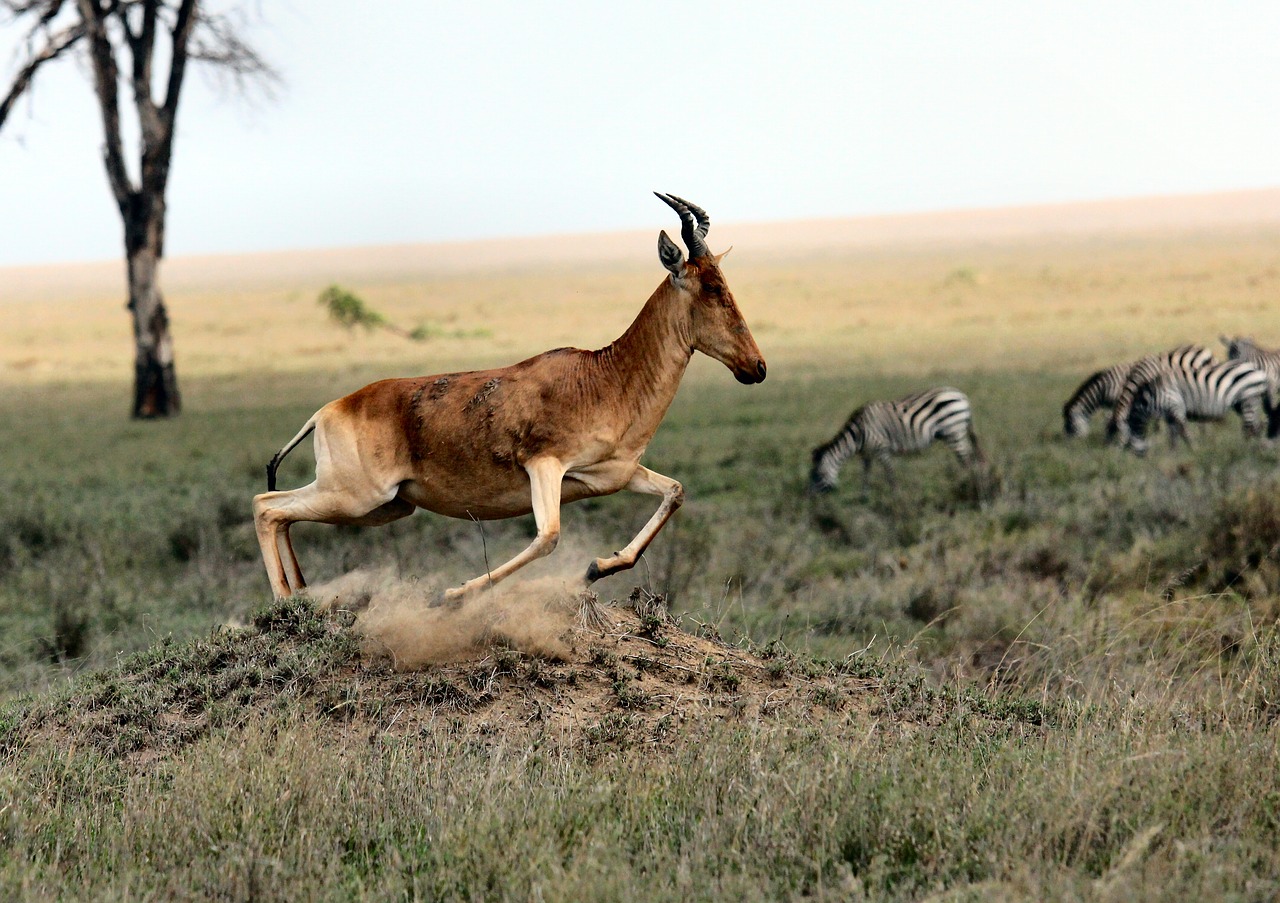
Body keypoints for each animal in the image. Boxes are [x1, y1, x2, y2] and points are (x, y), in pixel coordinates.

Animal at [254, 192, 762, 599]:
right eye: (711, 287)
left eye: (725, 282)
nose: (756, 368)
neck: (603, 376)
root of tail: (328, 410)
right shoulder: (544, 465)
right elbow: (548, 536)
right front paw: (452, 593)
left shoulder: (614, 475)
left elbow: (674, 493)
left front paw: (596, 568)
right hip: (357, 496)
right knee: (267, 506)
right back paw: (285, 604)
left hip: (386, 507)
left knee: (282, 514)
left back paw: (302, 596)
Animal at [803, 384, 983, 489]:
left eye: (816, 475)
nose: (810, 500)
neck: (858, 435)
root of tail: (962, 395)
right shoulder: (867, 454)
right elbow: (865, 476)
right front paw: (864, 497)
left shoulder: (882, 449)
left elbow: (890, 475)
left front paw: (896, 497)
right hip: (957, 432)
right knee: (969, 457)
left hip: (954, 432)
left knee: (966, 459)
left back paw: (965, 483)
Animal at [1064, 340, 1213, 435]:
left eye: (1070, 426)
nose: (1070, 446)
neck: (1106, 387)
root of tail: (1204, 349)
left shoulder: (1122, 398)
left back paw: (1203, 431)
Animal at [1121, 358, 1269, 453]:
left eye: (1127, 443)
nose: (1139, 457)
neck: (1154, 396)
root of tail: (1258, 370)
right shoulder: (1169, 414)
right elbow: (1173, 435)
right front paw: (1172, 454)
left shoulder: (1176, 406)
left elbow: (1183, 431)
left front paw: (1193, 449)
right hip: (1244, 403)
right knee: (1256, 426)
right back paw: (1257, 448)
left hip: (1249, 399)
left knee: (1249, 427)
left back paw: (1244, 450)